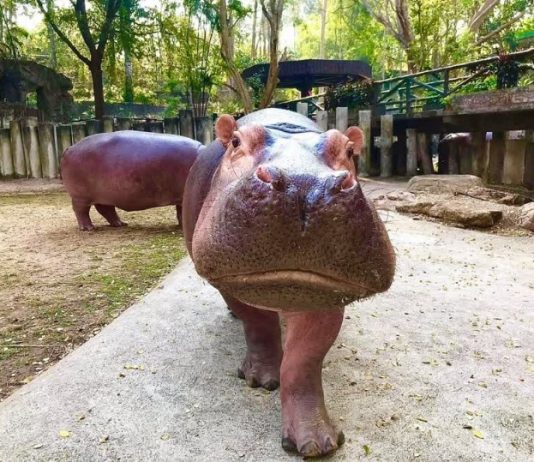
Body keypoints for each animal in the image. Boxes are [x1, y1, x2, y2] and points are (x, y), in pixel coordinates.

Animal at [61, 131, 202, 230]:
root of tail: (70, 148)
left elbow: (181, 212)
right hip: (81, 196)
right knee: (81, 211)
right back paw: (88, 228)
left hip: (106, 195)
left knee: (106, 209)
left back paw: (120, 224)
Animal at [182, 108, 396, 457]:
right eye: (237, 141)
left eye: (350, 149)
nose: (306, 184)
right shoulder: (231, 282)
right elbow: (258, 324)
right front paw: (261, 379)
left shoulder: (326, 292)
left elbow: (303, 360)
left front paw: (316, 443)